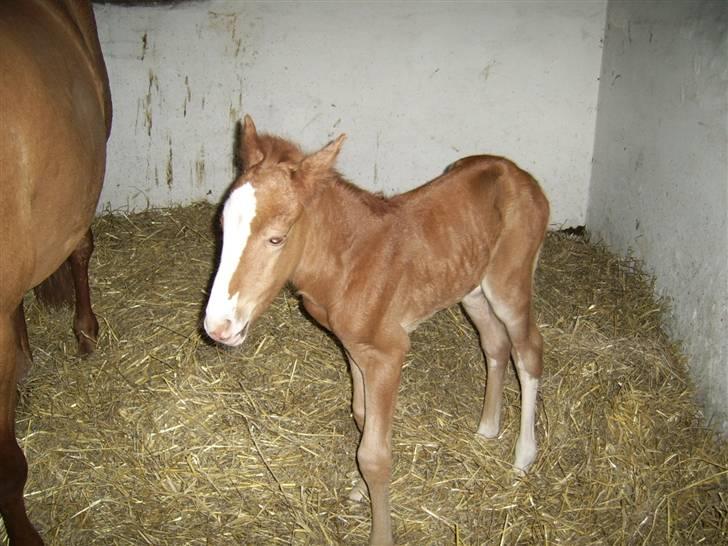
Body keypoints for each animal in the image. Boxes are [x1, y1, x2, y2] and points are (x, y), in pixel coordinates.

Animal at [203, 116, 544, 544]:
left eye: (276, 238)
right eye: (221, 227)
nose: (218, 327)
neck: (347, 261)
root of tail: (518, 173)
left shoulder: (388, 352)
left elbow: (375, 455)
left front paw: (379, 529)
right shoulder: (353, 346)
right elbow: (362, 416)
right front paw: (358, 489)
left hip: (509, 285)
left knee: (527, 352)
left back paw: (523, 458)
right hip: (472, 290)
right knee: (494, 344)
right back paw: (486, 430)